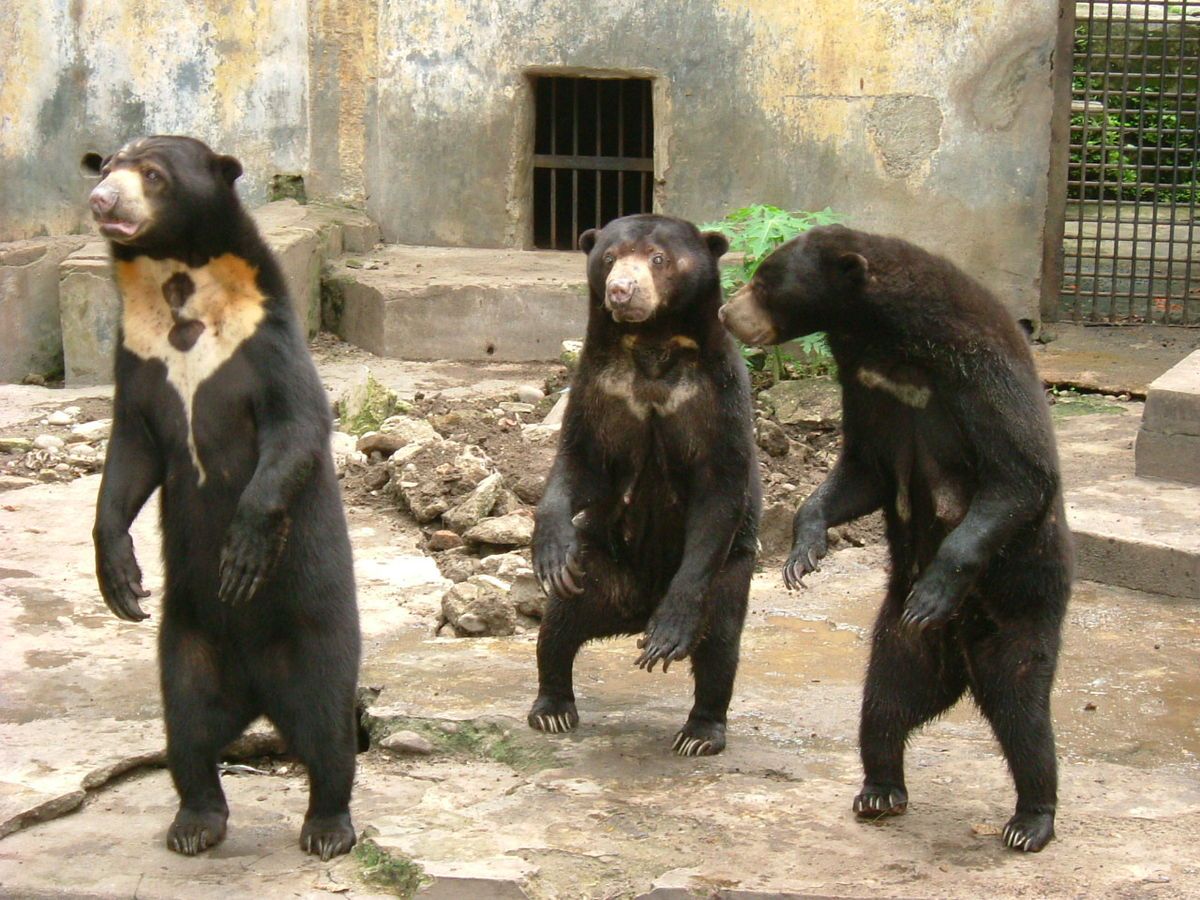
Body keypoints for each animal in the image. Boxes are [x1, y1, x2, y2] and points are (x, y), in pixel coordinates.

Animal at [84, 137, 357, 864]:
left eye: (152, 174)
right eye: (107, 165)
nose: (101, 199)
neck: (179, 284)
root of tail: (258, 693)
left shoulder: (265, 339)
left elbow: (295, 429)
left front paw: (239, 558)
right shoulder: (137, 354)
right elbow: (130, 454)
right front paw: (121, 580)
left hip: (316, 634)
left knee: (329, 731)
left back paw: (327, 829)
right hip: (187, 641)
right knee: (187, 730)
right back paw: (194, 823)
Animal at [532, 214, 758, 758]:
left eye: (658, 258)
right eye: (611, 257)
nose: (621, 291)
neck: (653, 344)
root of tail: (637, 607)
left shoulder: (716, 396)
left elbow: (720, 490)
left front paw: (669, 634)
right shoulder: (600, 386)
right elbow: (581, 460)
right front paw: (550, 552)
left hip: (730, 574)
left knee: (720, 644)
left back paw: (699, 730)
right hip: (599, 564)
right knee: (558, 625)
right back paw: (551, 706)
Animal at [715, 224, 1075, 854]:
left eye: (764, 280)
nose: (725, 312)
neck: (888, 339)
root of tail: (961, 668)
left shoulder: (978, 370)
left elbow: (1018, 474)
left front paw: (933, 589)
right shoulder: (867, 388)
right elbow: (864, 471)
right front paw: (802, 553)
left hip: (1023, 612)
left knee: (1024, 713)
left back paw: (1030, 820)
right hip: (899, 645)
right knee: (883, 704)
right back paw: (880, 789)